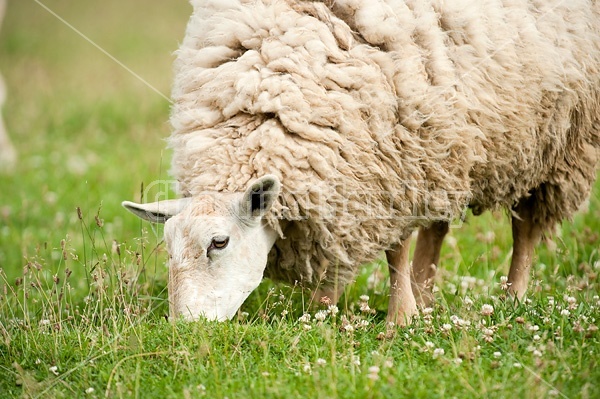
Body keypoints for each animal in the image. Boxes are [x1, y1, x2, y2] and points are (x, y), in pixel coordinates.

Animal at [123, 0, 600, 324]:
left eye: (218, 243)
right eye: (167, 248)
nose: (184, 329)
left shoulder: (393, 160)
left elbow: (395, 248)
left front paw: (398, 320)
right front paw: (322, 311)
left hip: (557, 142)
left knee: (527, 229)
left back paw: (512, 299)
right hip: (448, 145)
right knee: (438, 224)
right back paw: (426, 294)